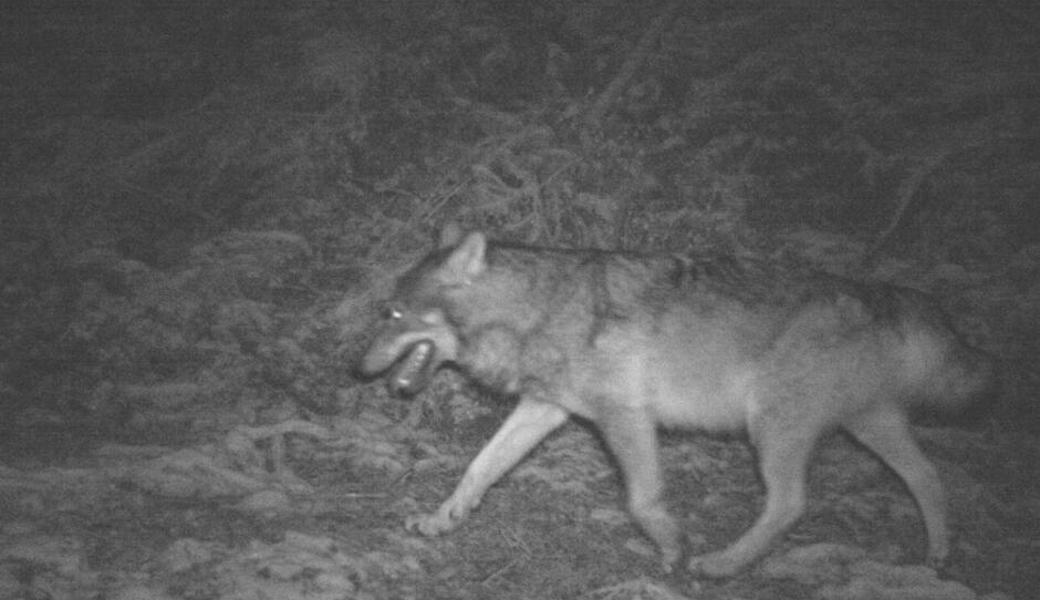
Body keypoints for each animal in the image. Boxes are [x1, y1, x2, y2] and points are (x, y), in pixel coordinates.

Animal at [359, 225, 996, 577]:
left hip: (772, 428)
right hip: (867, 427)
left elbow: (642, 501)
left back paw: (723, 565)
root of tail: (883, 291)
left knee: (791, 504)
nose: (355, 368)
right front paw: (441, 520)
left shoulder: (625, 418)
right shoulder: (546, 410)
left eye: (392, 313)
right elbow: (478, 468)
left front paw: (673, 549)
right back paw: (938, 556)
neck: (536, 308)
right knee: (927, 477)